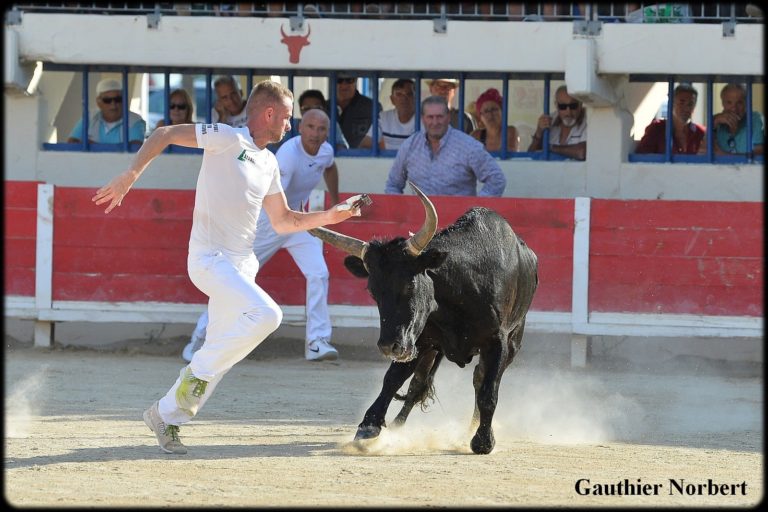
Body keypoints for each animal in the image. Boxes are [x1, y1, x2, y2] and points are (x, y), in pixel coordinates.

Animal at [308, 184, 536, 456]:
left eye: (409, 285)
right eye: (373, 292)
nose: (388, 346)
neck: (465, 284)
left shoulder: (498, 342)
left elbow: (489, 391)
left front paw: (483, 441)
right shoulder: (419, 340)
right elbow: (393, 379)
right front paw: (368, 426)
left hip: (513, 342)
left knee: (479, 378)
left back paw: (472, 429)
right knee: (418, 384)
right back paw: (397, 428)